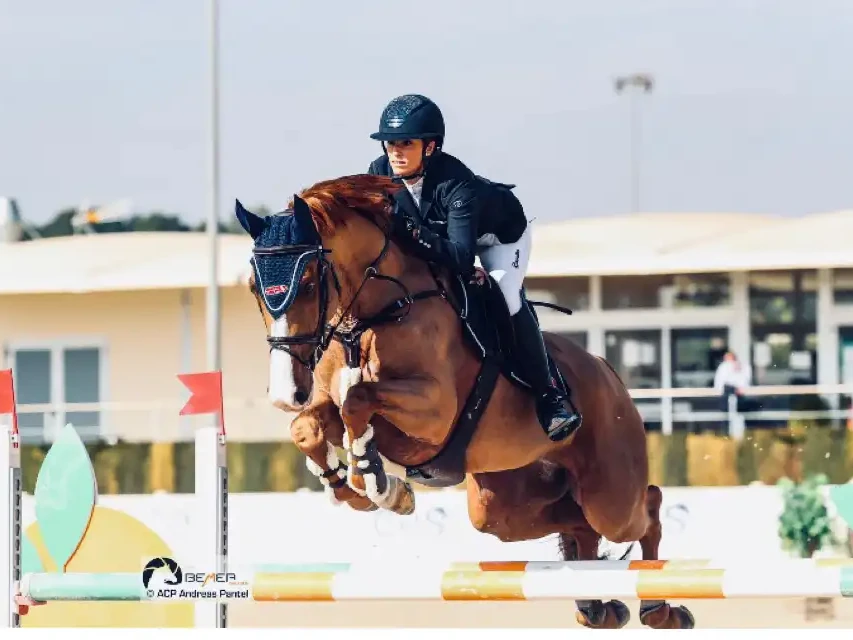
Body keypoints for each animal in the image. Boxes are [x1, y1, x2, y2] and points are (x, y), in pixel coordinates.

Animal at [236, 174, 694, 629]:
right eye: (255, 288)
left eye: (309, 282)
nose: (286, 392)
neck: (376, 312)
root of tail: (607, 371)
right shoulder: (340, 406)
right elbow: (310, 425)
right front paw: (350, 488)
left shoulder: (433, 414)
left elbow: (359, 401)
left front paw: (380, 483)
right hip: (501, 506)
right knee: (575, 522)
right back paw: (598, 608)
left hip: (610, 494)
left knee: (646, 507)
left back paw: (661, 610)